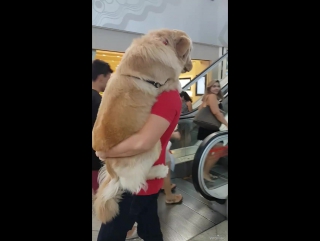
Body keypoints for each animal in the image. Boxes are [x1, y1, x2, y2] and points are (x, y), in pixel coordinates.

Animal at [92, 28, 192, 224]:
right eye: (189, 53)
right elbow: (173, 81)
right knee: (133, 182)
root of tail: (112, 172)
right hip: (153, 146)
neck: (163, 43)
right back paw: (159, 170)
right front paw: (178, 84)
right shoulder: (163, 82)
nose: (191, 66)